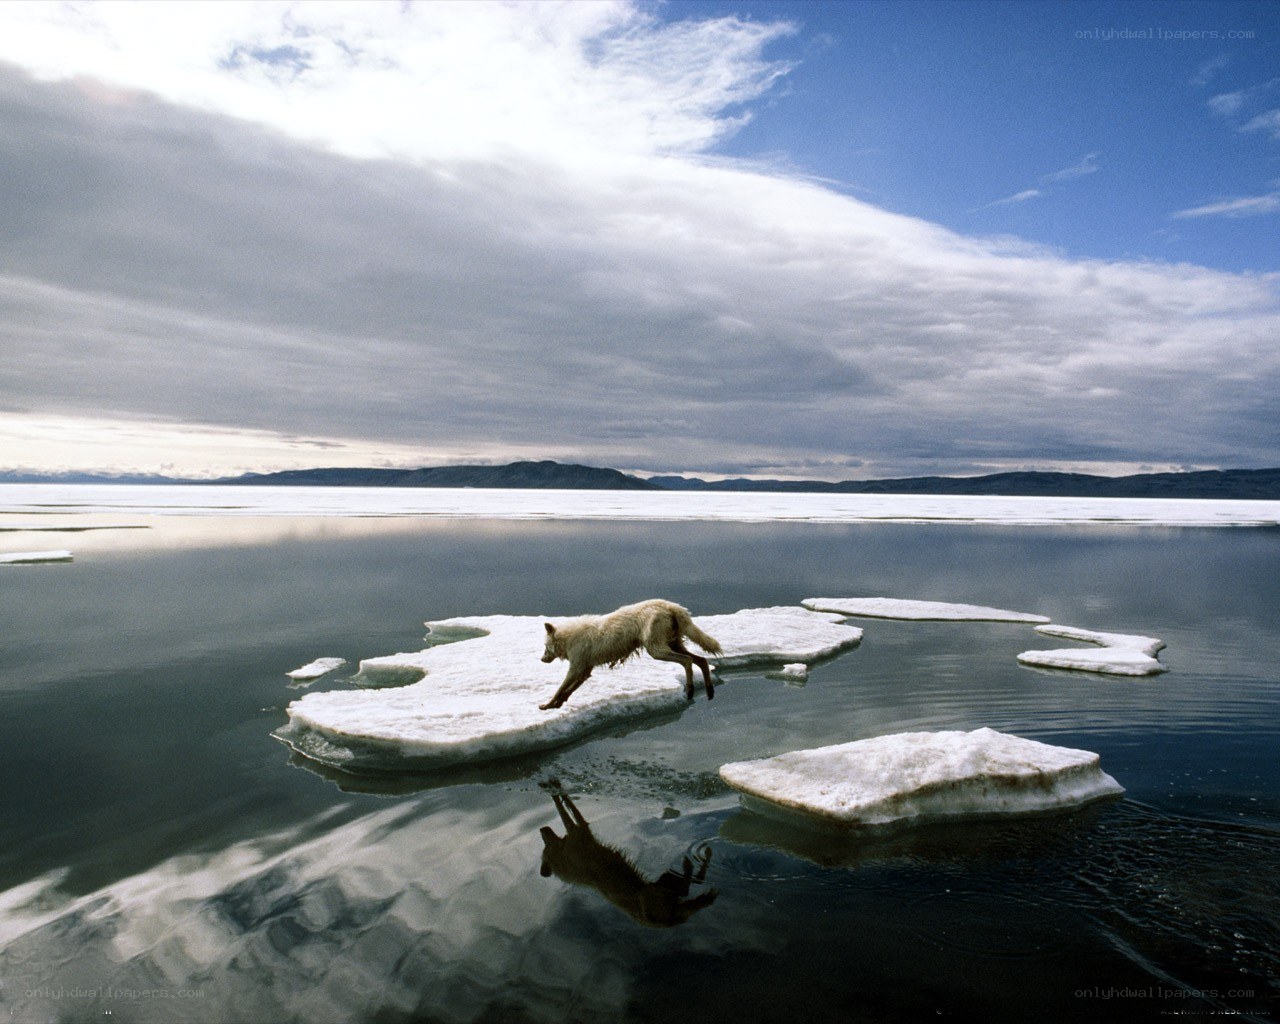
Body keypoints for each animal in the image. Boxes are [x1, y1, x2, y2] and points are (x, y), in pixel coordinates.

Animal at [538, 598, 722, 710]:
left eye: (545, 646)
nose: (542, 659)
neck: (568, 638)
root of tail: (671, 605)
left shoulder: (576, 668)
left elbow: (560, 688)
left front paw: (546, 705)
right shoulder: (585, 671)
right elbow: (567, 691)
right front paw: (556, 705)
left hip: (656, 650)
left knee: (688, 660)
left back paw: (691, 689)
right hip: (673, 644)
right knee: (702, 660)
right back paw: (709, 690)